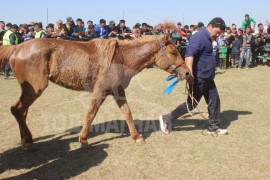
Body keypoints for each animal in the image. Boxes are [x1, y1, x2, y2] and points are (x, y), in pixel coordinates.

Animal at [0, 32, 190, 149]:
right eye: (173, 52)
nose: (187, 72)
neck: (120, 58)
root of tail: (17, 47)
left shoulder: (118, 91)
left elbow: (127, 113)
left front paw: (137, 137)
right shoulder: (100, 91)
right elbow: (91, 113)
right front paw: (83, 139)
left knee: (21, 111)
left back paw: (25, 139)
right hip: (35, 89)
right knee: (17, 110)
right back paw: (28, 141)